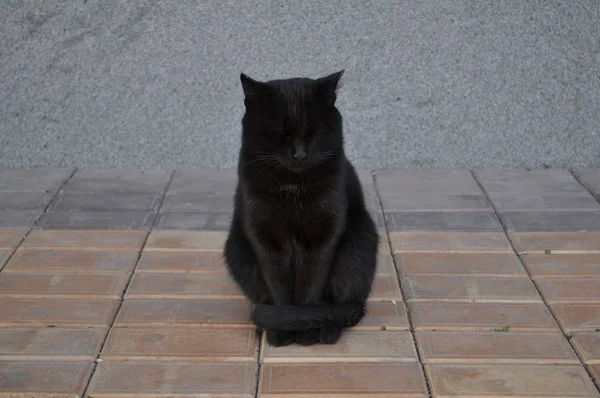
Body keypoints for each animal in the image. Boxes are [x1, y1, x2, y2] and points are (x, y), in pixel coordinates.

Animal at [223, 70, 378, 346]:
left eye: (314, 132)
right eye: (278, 133)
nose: (299, 155)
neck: (292, 187)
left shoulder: (323, 239)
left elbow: (311, 285)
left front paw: (304, 334)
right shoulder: (266, 241)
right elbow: (279, 287)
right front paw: (282, 330)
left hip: (358, 245)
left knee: (346, 304)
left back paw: (327, 331)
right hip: (236, 251)